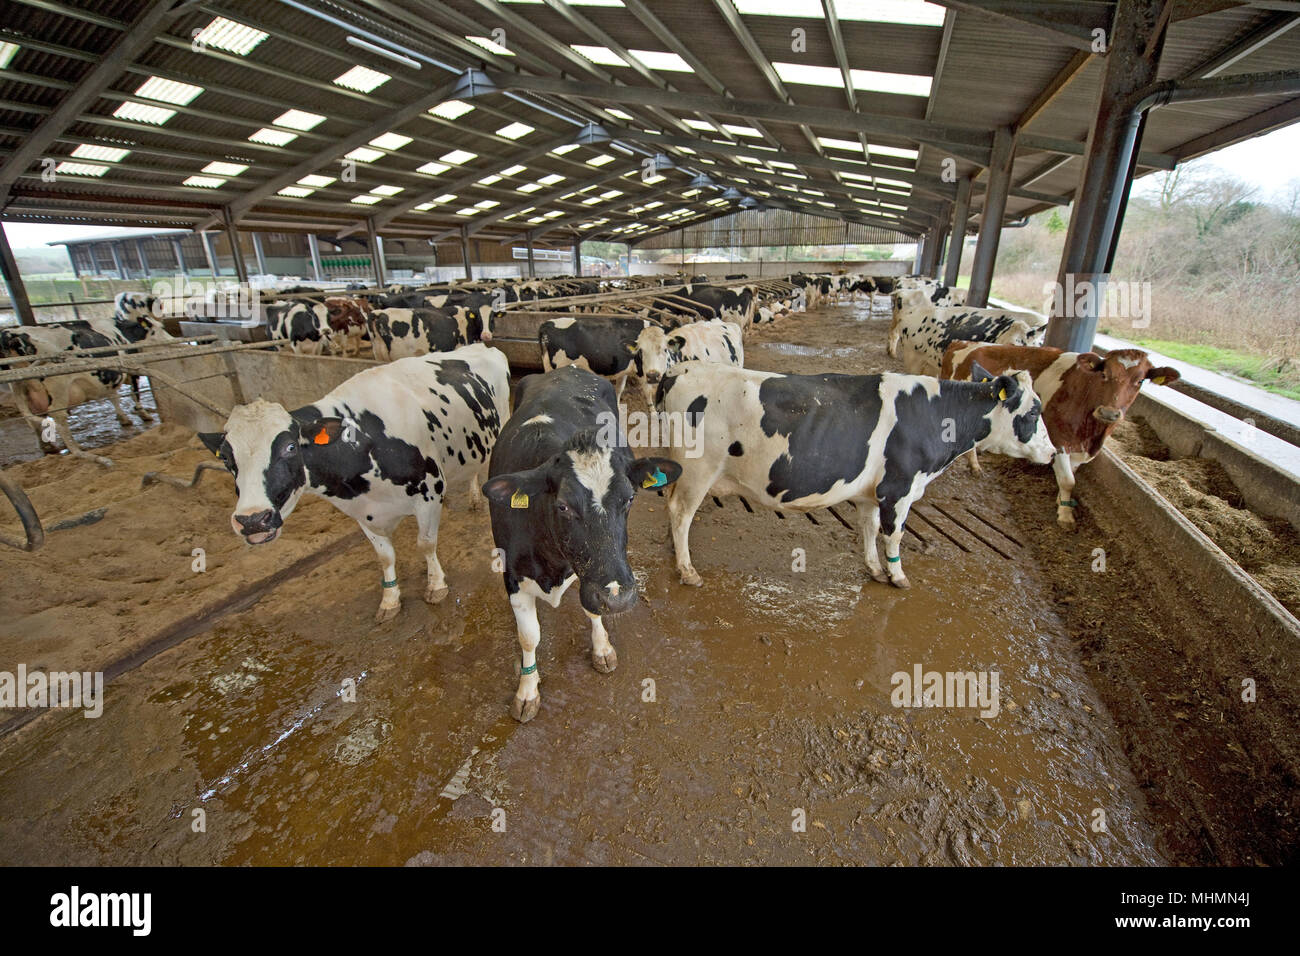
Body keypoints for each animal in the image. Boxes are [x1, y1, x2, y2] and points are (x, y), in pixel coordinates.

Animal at [200, 343, 509, 621]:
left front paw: (435, 585)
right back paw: (474, 498)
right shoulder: (362, 511)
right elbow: (385, 556)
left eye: (290, 447)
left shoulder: (430, 493)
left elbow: (426, 543)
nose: (252, 520)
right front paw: (390, 599)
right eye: (226, 458)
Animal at [478, 369, 681, 723]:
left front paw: (602, 648)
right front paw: (527, 691)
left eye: (630, 498)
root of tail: (565, 370)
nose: (618, 596)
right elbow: (529, 636)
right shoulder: (512, 575)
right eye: (562, 506)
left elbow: (591, 609)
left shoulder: (590, 577)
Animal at [655, 361, 1050, 590]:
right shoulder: (899, 488)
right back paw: (687, 570)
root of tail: (680, 371)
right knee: (681, 511)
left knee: (673, 506)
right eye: (1033, 412)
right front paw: (898, 576)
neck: (934, 414)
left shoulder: (871, 494)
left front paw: (875, 569)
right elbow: (894, 535)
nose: (1051, 453)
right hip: (699, 469)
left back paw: (675, 552)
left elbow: (869, 529)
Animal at [946, 343, 1180, 530]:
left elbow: (1070, 477)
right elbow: (1068, 480)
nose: (1109, 413)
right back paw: (974, 465)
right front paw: (1066, 516)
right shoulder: (1059, 441)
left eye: (1139, 381)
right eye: (1104, 374)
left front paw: (1061, 503)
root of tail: (967, 344)